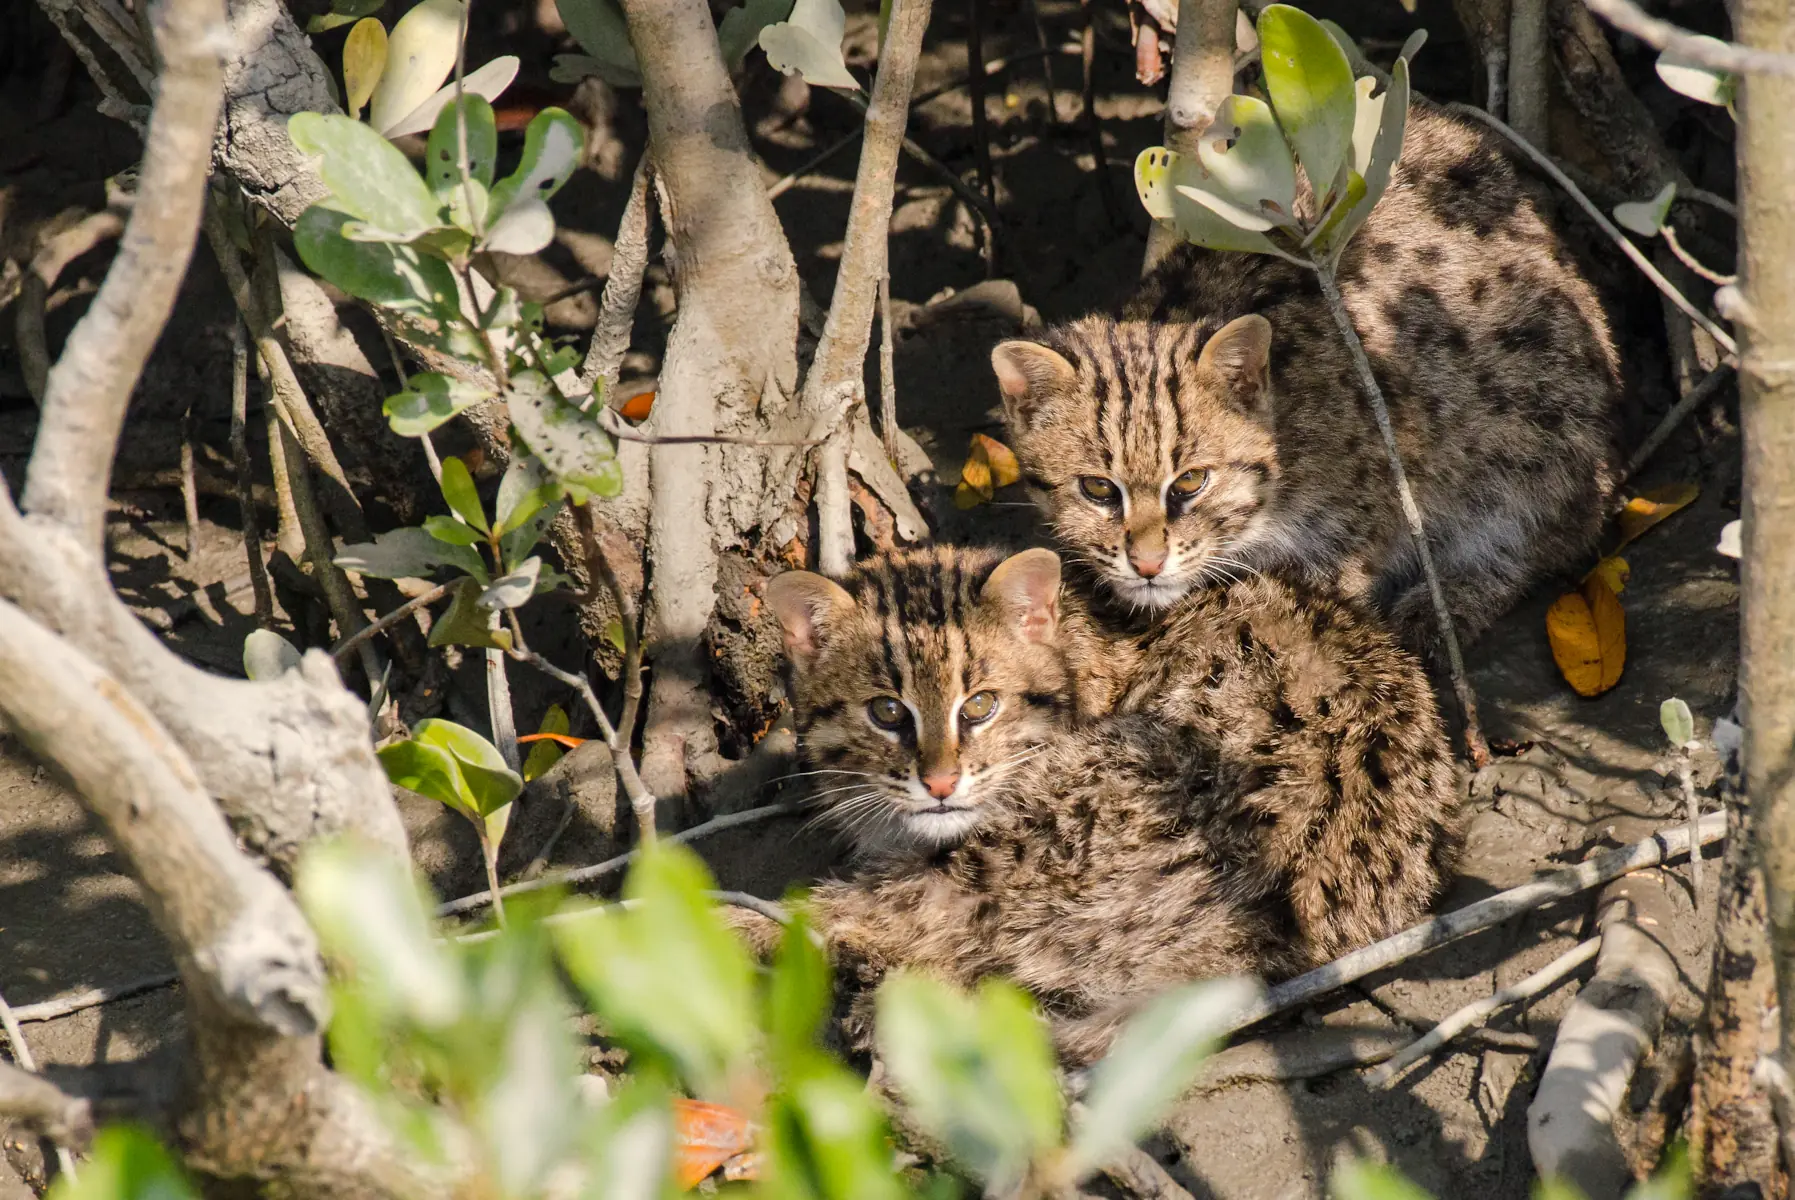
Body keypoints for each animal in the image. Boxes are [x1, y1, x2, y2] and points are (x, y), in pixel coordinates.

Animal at [990, 101, 1622, 649]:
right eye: (1098, 489)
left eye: (1191, 483)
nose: (1147, 565)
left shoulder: (1363, 523)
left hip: (1538, 429)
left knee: (1551, 532)